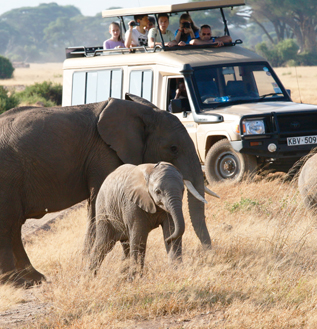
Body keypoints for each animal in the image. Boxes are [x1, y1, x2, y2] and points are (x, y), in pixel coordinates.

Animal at [0, 95, 215, 284]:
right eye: (173, 148)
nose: (208, 253)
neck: (143, 112)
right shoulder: (104, 154)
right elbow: (97, 207)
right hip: (8, 175)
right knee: (8, 223)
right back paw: (16, 283)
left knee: (14, 225)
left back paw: (36, 280)